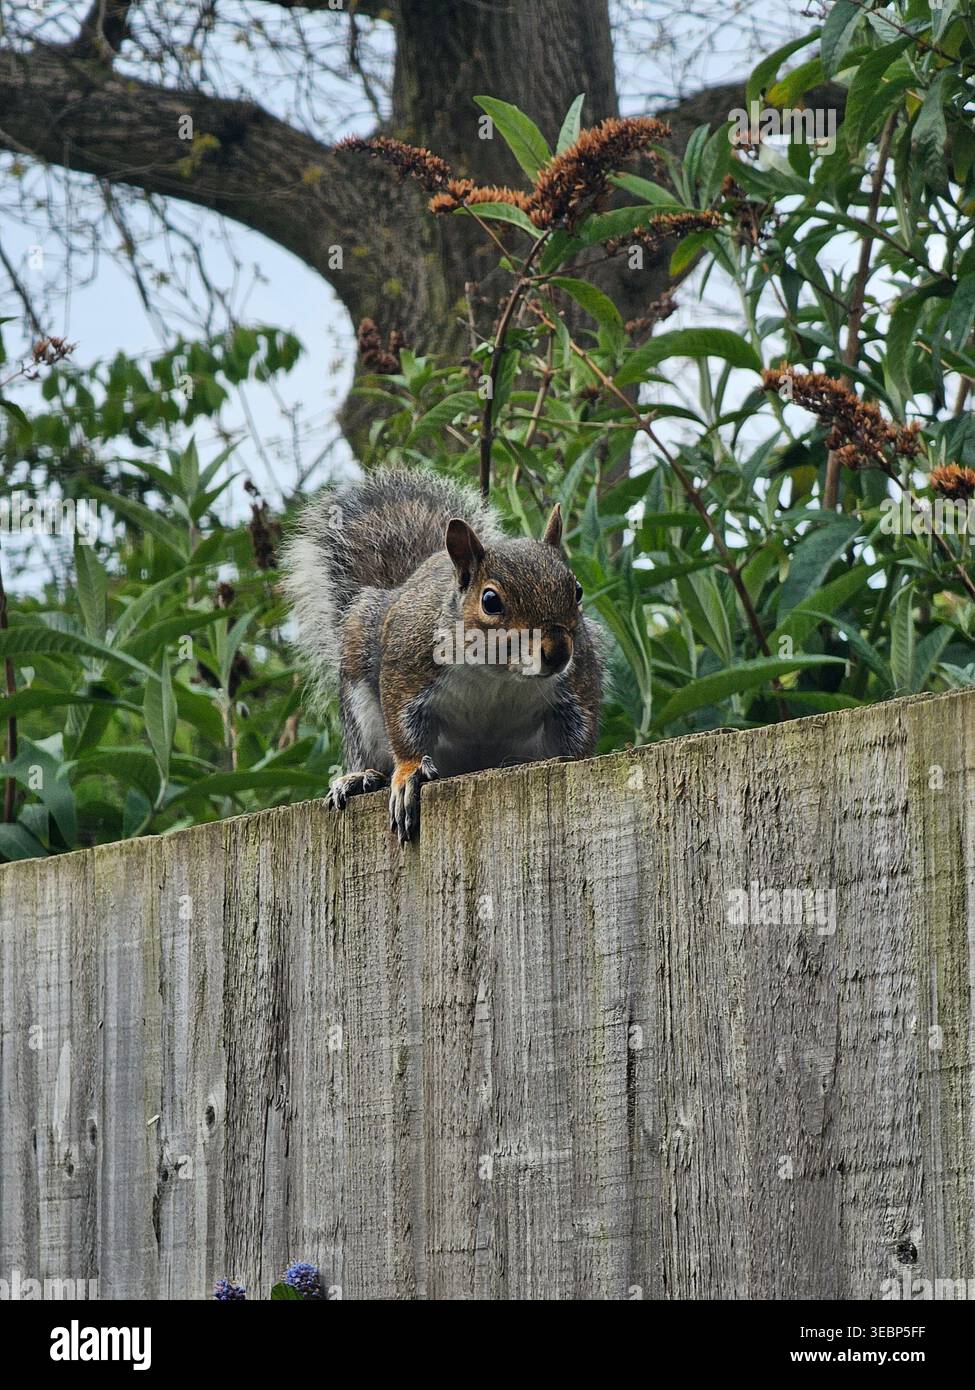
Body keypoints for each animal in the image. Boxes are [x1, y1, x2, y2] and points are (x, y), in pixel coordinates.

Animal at [282, 467, 602, 842]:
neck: (497, 671)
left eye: (577, 590)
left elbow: (579, 730)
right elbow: (404, 730)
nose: (557, 653)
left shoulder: (578, 681)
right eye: (490, 601)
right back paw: (360, 778)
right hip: (359, 700)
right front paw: (408, 774)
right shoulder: (406, 666)